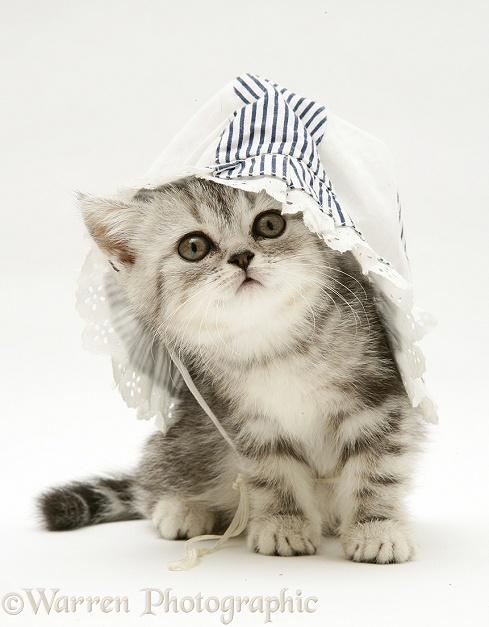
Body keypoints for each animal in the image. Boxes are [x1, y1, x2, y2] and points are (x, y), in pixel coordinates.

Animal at [38, 175, 422, 564]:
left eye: (270, 224)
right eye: (193, 247)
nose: (241, 256)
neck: (273, 344)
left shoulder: (378, 397)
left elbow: (376, 470)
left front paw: (376, 527)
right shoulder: (244, 422)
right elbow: (273, 475)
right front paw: (284, 523)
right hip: (184, 438)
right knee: (152, 481)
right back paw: (181, 508)